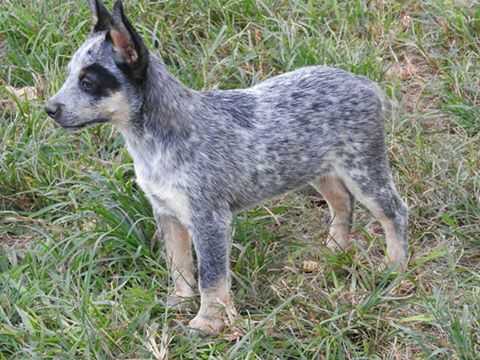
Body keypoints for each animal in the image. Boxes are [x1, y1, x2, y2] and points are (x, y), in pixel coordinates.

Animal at [45, 0, 406, 334]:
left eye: (88, 81)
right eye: (69, 74)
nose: (49, 108)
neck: (157, 140)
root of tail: (364, 82)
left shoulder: (209, 219)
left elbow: (211, 275)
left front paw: (208, 322)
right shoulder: (166, 212)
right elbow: (178, 263)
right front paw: (180, 300)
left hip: (363, 168)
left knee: (394, 211)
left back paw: (395, 267)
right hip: (318, 169)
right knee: (342, 202)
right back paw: (335, 249)